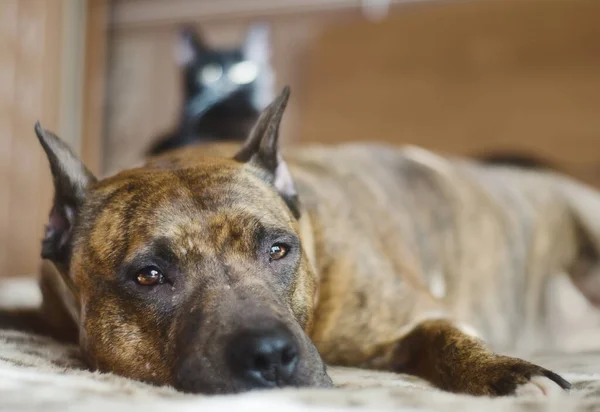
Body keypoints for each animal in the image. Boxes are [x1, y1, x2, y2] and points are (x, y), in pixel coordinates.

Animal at [9, 86, 600, 396]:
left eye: (278, 250)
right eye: (149, 276)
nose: (270, 355)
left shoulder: (417, 316)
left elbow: (447, 337)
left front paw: (510, 374)